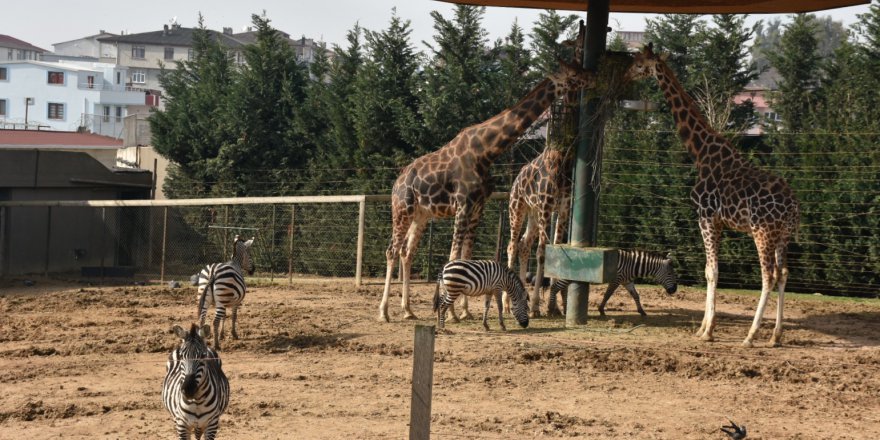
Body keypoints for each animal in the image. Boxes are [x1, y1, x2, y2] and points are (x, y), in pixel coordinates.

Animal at [506, 147, 576, 316]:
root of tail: (516, 178)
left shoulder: (564, 207)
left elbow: (556, 252)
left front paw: (554, 307)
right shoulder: (546, 207)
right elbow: (542, 253)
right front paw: (536, 307)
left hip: (534, 213)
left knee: (524, 245)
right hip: (517, 207)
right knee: (512, 245)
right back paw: (506, 305)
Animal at [540, 248, 676, 316]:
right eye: (670, 274)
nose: (674, 290)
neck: (633, 265)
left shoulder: (627, 281)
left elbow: (636, 295)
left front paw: (641, 311)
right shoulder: (616, 280)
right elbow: (607, 294)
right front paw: (601, 310)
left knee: (561, 289)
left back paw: (564, 310)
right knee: (555, 287)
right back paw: (550, 310)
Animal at [624, 44, 800, 348]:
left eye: (638, 63)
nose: (626, 75)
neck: (701, 153)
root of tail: (793, 207)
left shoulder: (705, 218)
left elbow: (710, 271)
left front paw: (707, 331)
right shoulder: (719, 223)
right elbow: (711, 270)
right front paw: (704, 328)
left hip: (762, 232)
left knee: (768, 275)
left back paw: (751, 335)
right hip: (783, 234)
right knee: (784, 273)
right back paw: (775, 336)